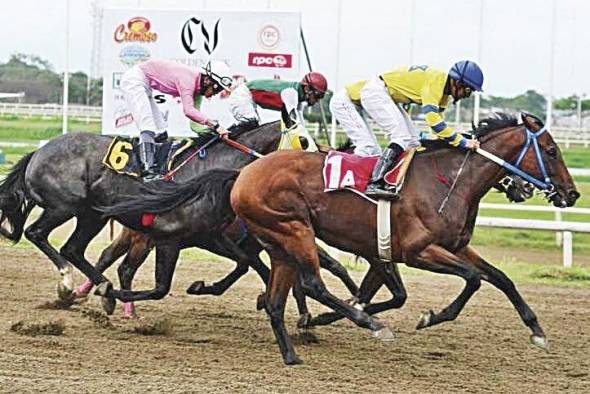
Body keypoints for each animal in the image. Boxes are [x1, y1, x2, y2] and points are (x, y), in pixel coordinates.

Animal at [228, 112, 584, 364]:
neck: (450, 181)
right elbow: (472, 279)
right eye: (551, 151)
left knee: (276, 301)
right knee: (314, 284)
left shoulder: (453, 247)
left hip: (279, 243)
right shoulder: (418, 251)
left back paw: (292, 355)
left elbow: (501, 278)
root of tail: (245, 174)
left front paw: (537, 331)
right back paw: (371, 325)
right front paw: (431, 317)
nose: (572, 193)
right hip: (295, 230)